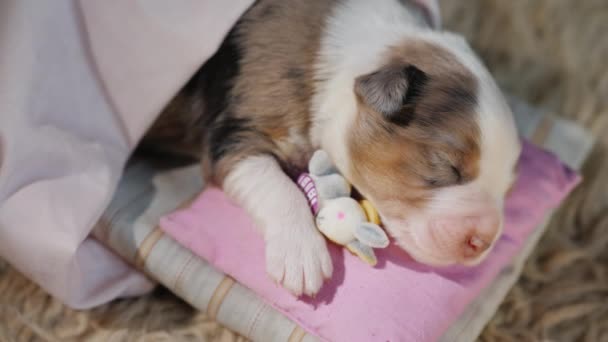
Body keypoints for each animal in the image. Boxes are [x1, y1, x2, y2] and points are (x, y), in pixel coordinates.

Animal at [141, 0, 516, 296]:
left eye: (507, 188)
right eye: (445, 165)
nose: (483, 242)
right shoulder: (235, 133)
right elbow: (277, 186)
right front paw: (300, 254)